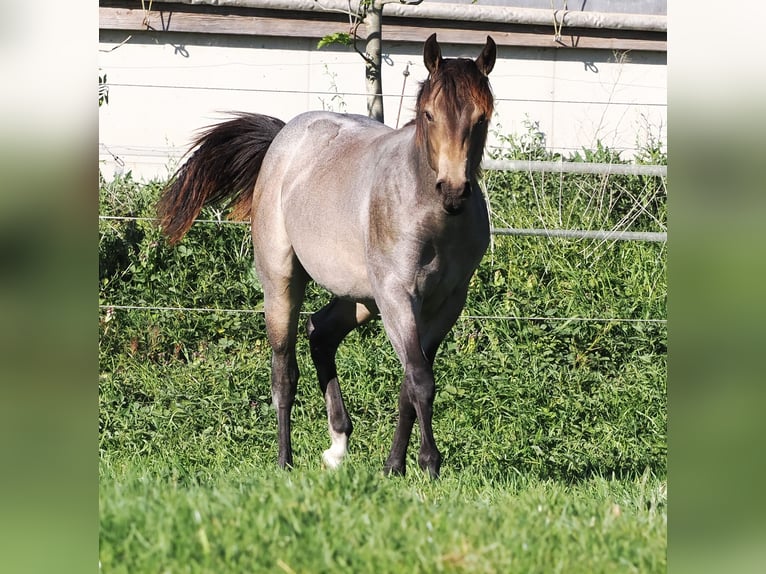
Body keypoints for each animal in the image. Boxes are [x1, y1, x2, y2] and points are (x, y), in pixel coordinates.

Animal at [157, 34, 496, 478]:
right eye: (429, 115)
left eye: (482, 118)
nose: (453, 191)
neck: (432, 217)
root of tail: (285, 136)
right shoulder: (398, 295)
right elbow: (421, 378)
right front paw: (428, 463)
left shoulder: (445, 303)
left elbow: (410, 380)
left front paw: (394, 466)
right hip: (286, 285)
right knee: (284, 373)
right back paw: (285, 460)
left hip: (362, 298)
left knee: (320, 333)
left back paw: (337, 445)